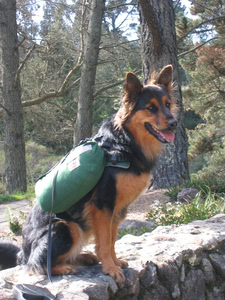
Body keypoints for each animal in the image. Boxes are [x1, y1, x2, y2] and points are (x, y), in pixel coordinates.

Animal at [0, 65, 178, 284]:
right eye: (151, 108)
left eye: (168, 104)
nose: (174, 123)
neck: (123, 143)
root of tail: (22, 254)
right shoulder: (102, 206)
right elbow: (104, 242)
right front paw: (110, 268)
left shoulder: (117, 210)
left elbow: (111, 239)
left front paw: (115, 262)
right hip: (66, 227)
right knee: (37, 265)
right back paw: (65, 267)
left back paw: (84, 257)